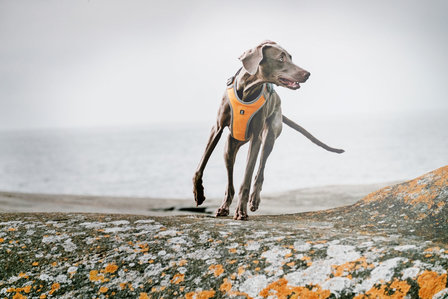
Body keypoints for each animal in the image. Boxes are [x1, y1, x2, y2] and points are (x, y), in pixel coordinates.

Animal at [192, 40, 344, 220]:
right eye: (281, 58)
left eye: (290, 57)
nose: (307, 74)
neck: (247, 89)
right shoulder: (217, 128)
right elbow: (201, 165)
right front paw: (199, 193)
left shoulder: (256, 137)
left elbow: (247, 178)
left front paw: (241, 211)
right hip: (230, 146)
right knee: (230, 180)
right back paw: (224, 207)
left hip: (269, 136)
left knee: (260, 172)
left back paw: (254, 200)